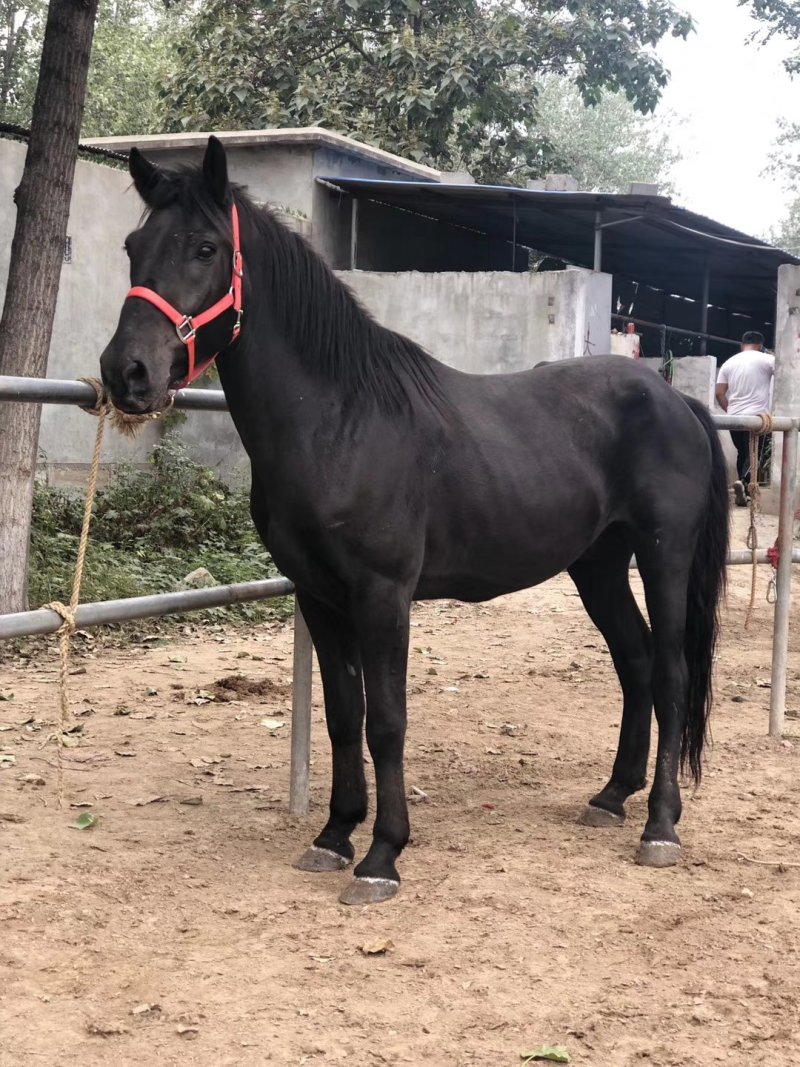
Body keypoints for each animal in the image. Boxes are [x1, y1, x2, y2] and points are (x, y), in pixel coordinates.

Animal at [100, 136, 729, 906]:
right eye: (134, 246)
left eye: (205, 247)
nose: (126, 372)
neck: (340, 420)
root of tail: (675, 399)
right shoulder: (320, 596)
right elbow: (344, 715)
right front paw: (334, 836)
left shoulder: (383, 594)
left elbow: (387, 722)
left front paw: (382, 855)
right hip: (598, 566)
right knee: (633, 659)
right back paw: (612, 796)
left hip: (664, 557)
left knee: (669, 671)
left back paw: (660, 825)